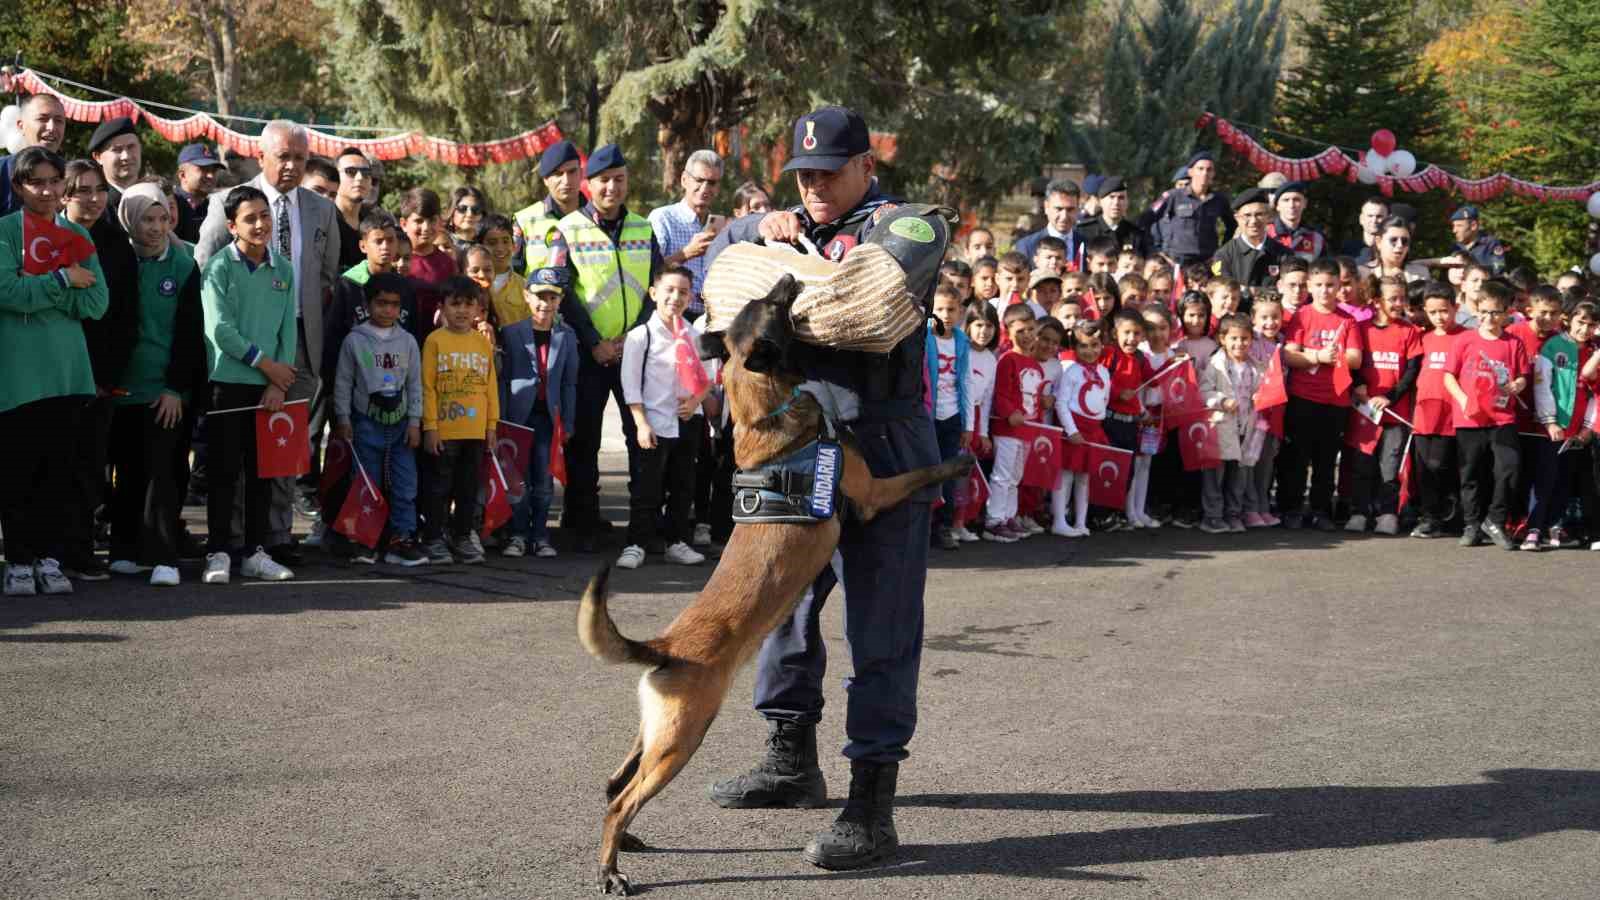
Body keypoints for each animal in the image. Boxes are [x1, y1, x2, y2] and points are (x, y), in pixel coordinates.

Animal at [579, 275, 972, 890]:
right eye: (773, 305)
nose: (790, 277)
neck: (765, 413)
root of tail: (663, 647)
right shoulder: (874, 493)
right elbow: (916, 472)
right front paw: (956, 463)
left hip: (655, 733)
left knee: (616, 783)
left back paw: (630, 843)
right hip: (682, 740)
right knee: (622, 800)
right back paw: (611, 870)